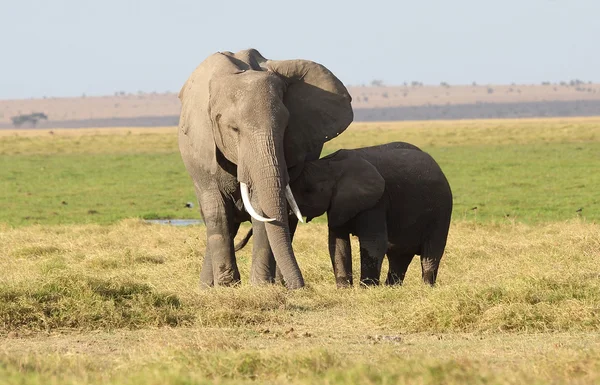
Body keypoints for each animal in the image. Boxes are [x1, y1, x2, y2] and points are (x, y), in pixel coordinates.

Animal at [179, 48, 356, 288]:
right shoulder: (203, 148)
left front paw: (260, 286)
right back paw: (207, 287)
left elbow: (262, 210)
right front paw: (228, 287)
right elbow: (217, 212)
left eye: (286, 127)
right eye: (234, 129)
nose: (302, 287)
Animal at [288, 141, 452, 284]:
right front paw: (344, 289)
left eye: (307, 190)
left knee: (430, 255)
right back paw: (391, 288)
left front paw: (366, 288)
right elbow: (338, 243)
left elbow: (373, 243)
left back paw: (426, 287)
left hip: (441, 210)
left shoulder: (376, 202)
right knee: (398, 257)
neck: (329, 164)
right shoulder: (337, 205)